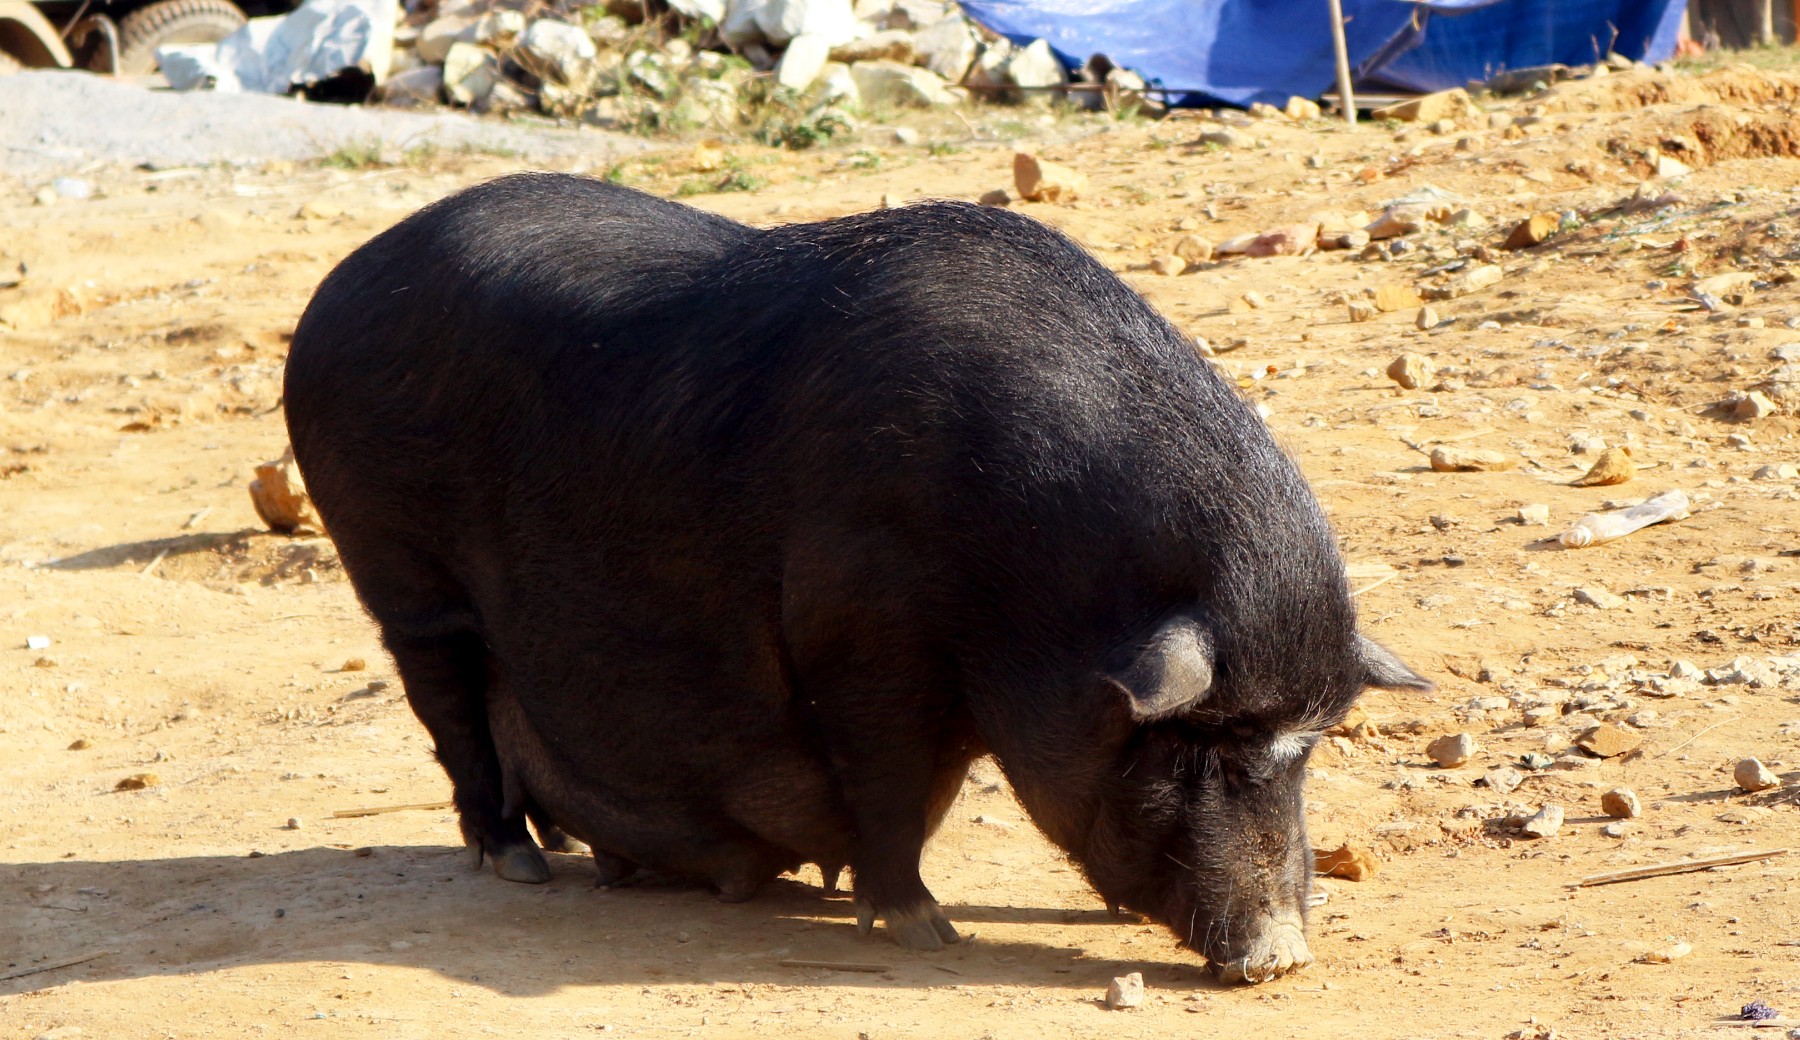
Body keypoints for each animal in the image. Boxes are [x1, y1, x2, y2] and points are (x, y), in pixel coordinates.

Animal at [284, 170, 1432, 978]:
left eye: (1305, 751)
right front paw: (926, 931)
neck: (1026, 578)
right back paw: (519, 861)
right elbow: (886, 778)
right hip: (400, 574)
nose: (1282, 958)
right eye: (1205, 750)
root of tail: (334, 288)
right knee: (451, 715)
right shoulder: (858, 631)